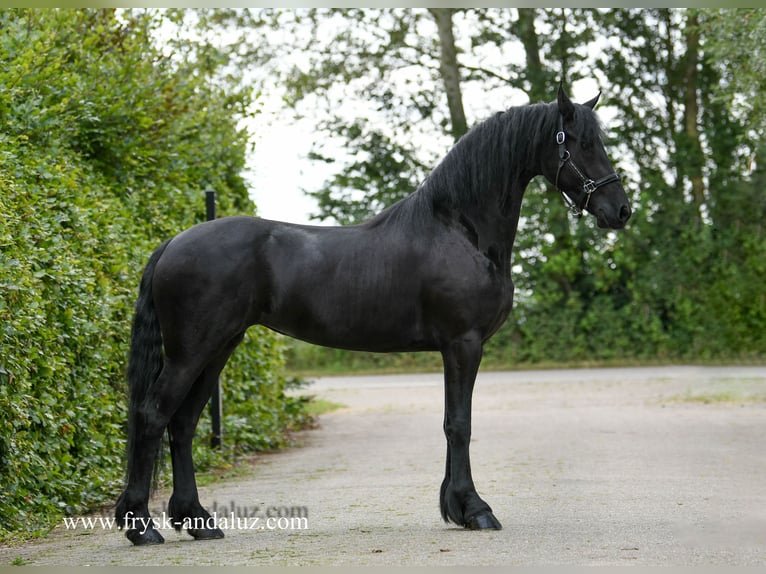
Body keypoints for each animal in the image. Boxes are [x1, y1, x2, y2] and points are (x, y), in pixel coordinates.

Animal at [114, 84, 632, 544]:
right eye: (581, 143)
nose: (621, 210)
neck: (459, 229)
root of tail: (173, 243)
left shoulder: (455, 348)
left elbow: (452, 422)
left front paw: (455, 509)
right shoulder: (462, 343)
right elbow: (459, 425)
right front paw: (475, 510)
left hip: (219, 347)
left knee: (183, 424)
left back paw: (196, 520)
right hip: (190, 351)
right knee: (153, 415)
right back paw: (142, 527)